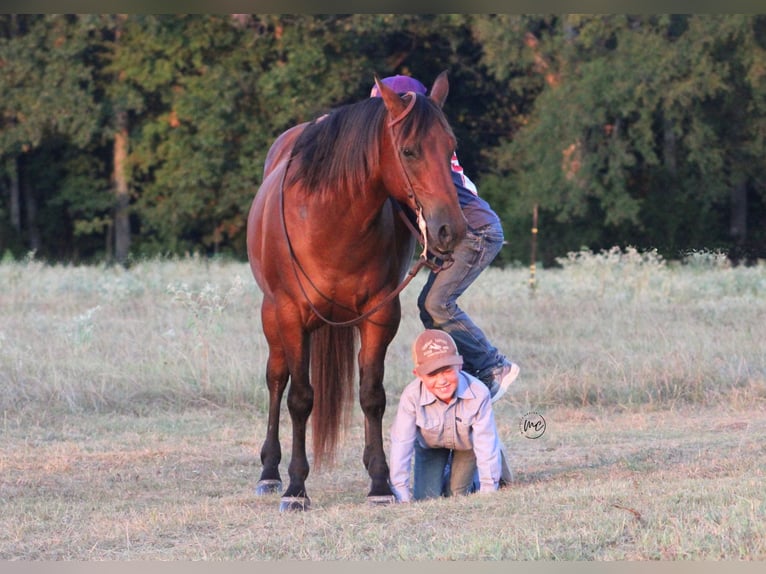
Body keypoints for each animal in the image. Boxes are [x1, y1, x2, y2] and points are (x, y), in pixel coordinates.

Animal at [246, 71, 466, 511]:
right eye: (409, 151)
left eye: (450, 148)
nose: (450, 229)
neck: (329, 216)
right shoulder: (291, 315)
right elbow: (300, 399)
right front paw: (296, 488)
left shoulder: (381, 315)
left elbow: (371, 394)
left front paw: (380, 482)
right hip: (272, 317)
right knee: (277, 379)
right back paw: (270, 471)